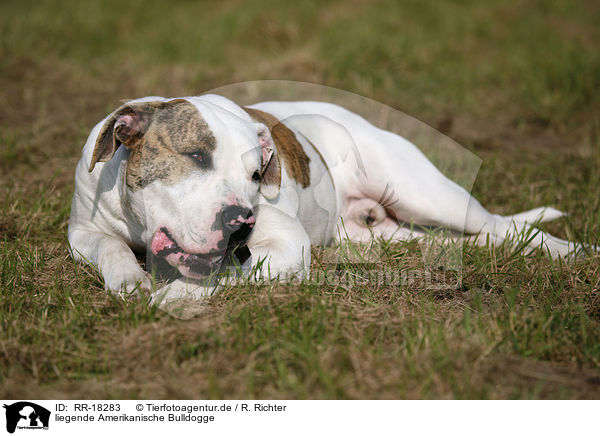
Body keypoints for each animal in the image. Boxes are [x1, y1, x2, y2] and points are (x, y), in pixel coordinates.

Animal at [68, 93, 584, 302]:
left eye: (256, 174)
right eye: (195, 155)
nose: (240, 222)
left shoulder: (287, 246)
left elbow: (226, 275)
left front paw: (176, 296)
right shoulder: (82, 231)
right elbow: (110, 248)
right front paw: (128, 281)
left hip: (429, 194)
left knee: (506, 225)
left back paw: (574, 251)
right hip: (386, 235)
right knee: (467, 240)